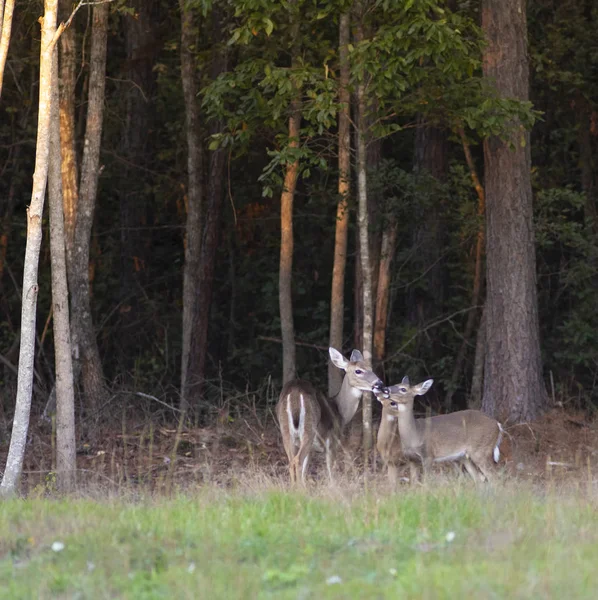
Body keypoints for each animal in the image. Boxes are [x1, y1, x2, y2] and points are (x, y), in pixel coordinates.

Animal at [278, 350, 384, 486]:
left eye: (370, 368)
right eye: (358, 371)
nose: (379, 384)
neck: (340, 412)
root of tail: (295, 392)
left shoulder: (313, 449)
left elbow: (305, 472)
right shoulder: (332, 442)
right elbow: (331, 472)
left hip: (286, 431)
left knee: (292, 461)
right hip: (309, 429)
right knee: (297, 461)